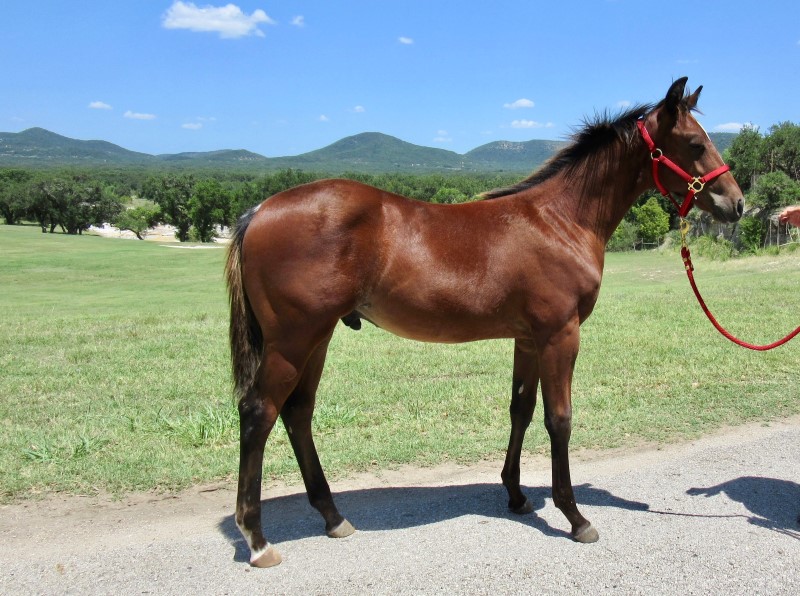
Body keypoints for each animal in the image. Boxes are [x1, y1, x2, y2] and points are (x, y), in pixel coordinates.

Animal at [223, 77, 744, 564]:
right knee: (258, 412)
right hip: (294, 339)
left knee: (297, 413)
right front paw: (575, 516)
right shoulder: (560, 336)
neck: (560, 219)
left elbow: (521, 409)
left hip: (318, 337)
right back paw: (257, 539)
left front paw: (516, 495)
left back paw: (333, 517)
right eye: (695, 144)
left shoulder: (529, 340)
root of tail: (258, 210)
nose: (736, 203)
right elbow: (559, 419)